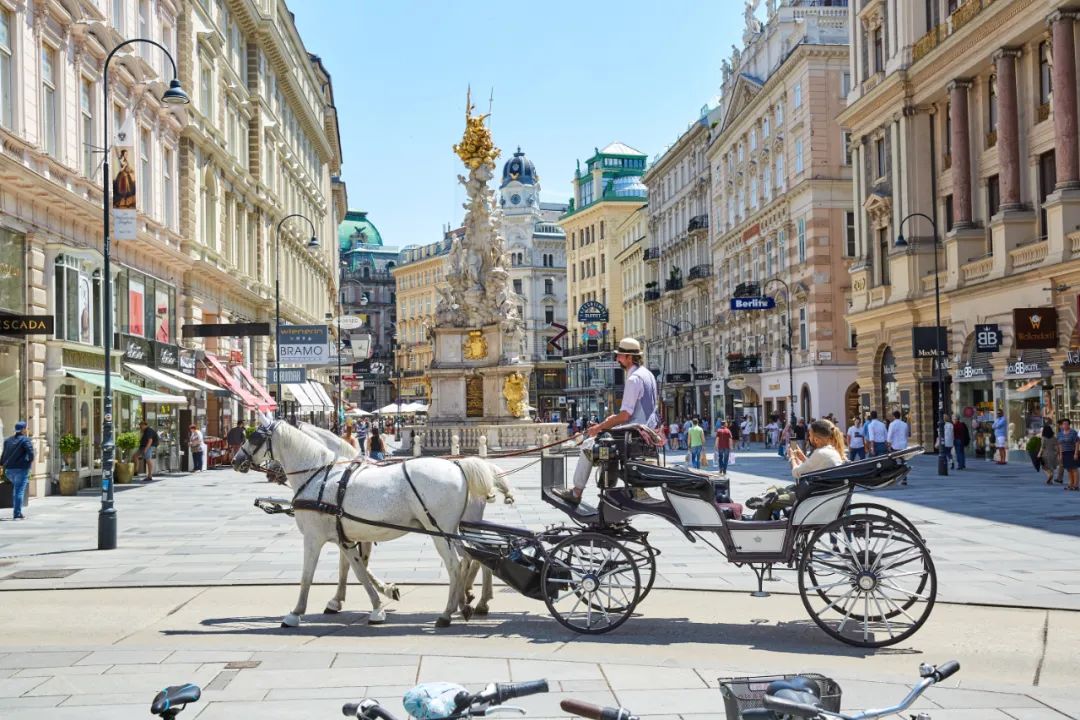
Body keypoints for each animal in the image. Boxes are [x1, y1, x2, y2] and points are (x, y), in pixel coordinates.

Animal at [234, 414, 498, 626]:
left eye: (254, 437)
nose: (236, 461)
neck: (318, 475)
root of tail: (459, 466)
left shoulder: (313, 537)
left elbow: (308, 575)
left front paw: (296, 613)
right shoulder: (344, 536)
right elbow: (357, 569)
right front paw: (375, 603)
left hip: (440, 530)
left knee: (457, 564)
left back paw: (450, 612)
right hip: (452, 530)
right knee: (474, 557)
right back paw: (468, 602)